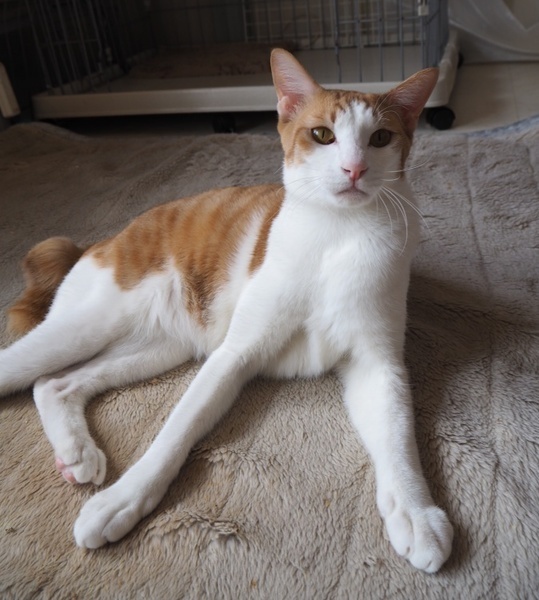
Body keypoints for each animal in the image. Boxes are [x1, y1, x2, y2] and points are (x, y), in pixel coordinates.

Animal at [0, 49, 453, 573]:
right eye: (322, 135)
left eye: (380, 138)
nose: (354, 170)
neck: (337, 235)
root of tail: (101, 240)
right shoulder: (234, 354)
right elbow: (176, 431)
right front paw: (124, 499)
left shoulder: (377, 364)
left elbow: (399, 437)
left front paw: (416, 512)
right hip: (90, 324)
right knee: (29, 368)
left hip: (157, 346)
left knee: (55, 384)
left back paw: (76, 452)